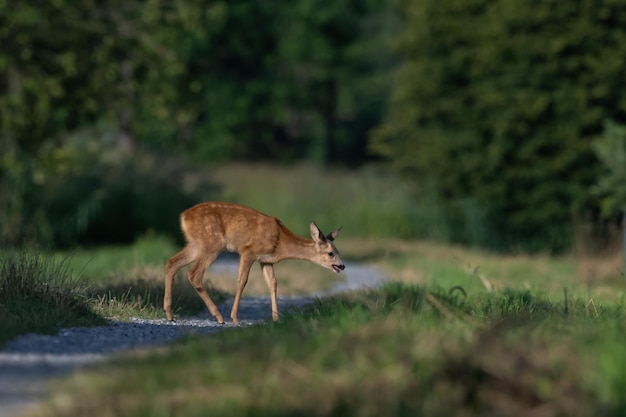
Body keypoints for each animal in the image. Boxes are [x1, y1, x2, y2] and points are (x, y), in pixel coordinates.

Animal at [163, 203, 344, 324]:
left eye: (337, 251)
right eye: (331, 253)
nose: (342, 266)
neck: (280, 242)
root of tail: (184, 217)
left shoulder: (265, 260)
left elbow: (273, 283)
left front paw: (276, 319)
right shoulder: (249, 251)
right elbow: (242, 280)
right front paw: (235, 318)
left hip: (195, 245)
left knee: (171, 263)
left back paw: (169, 314)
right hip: (212, 243)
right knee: (194, 274)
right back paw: (219, 317)